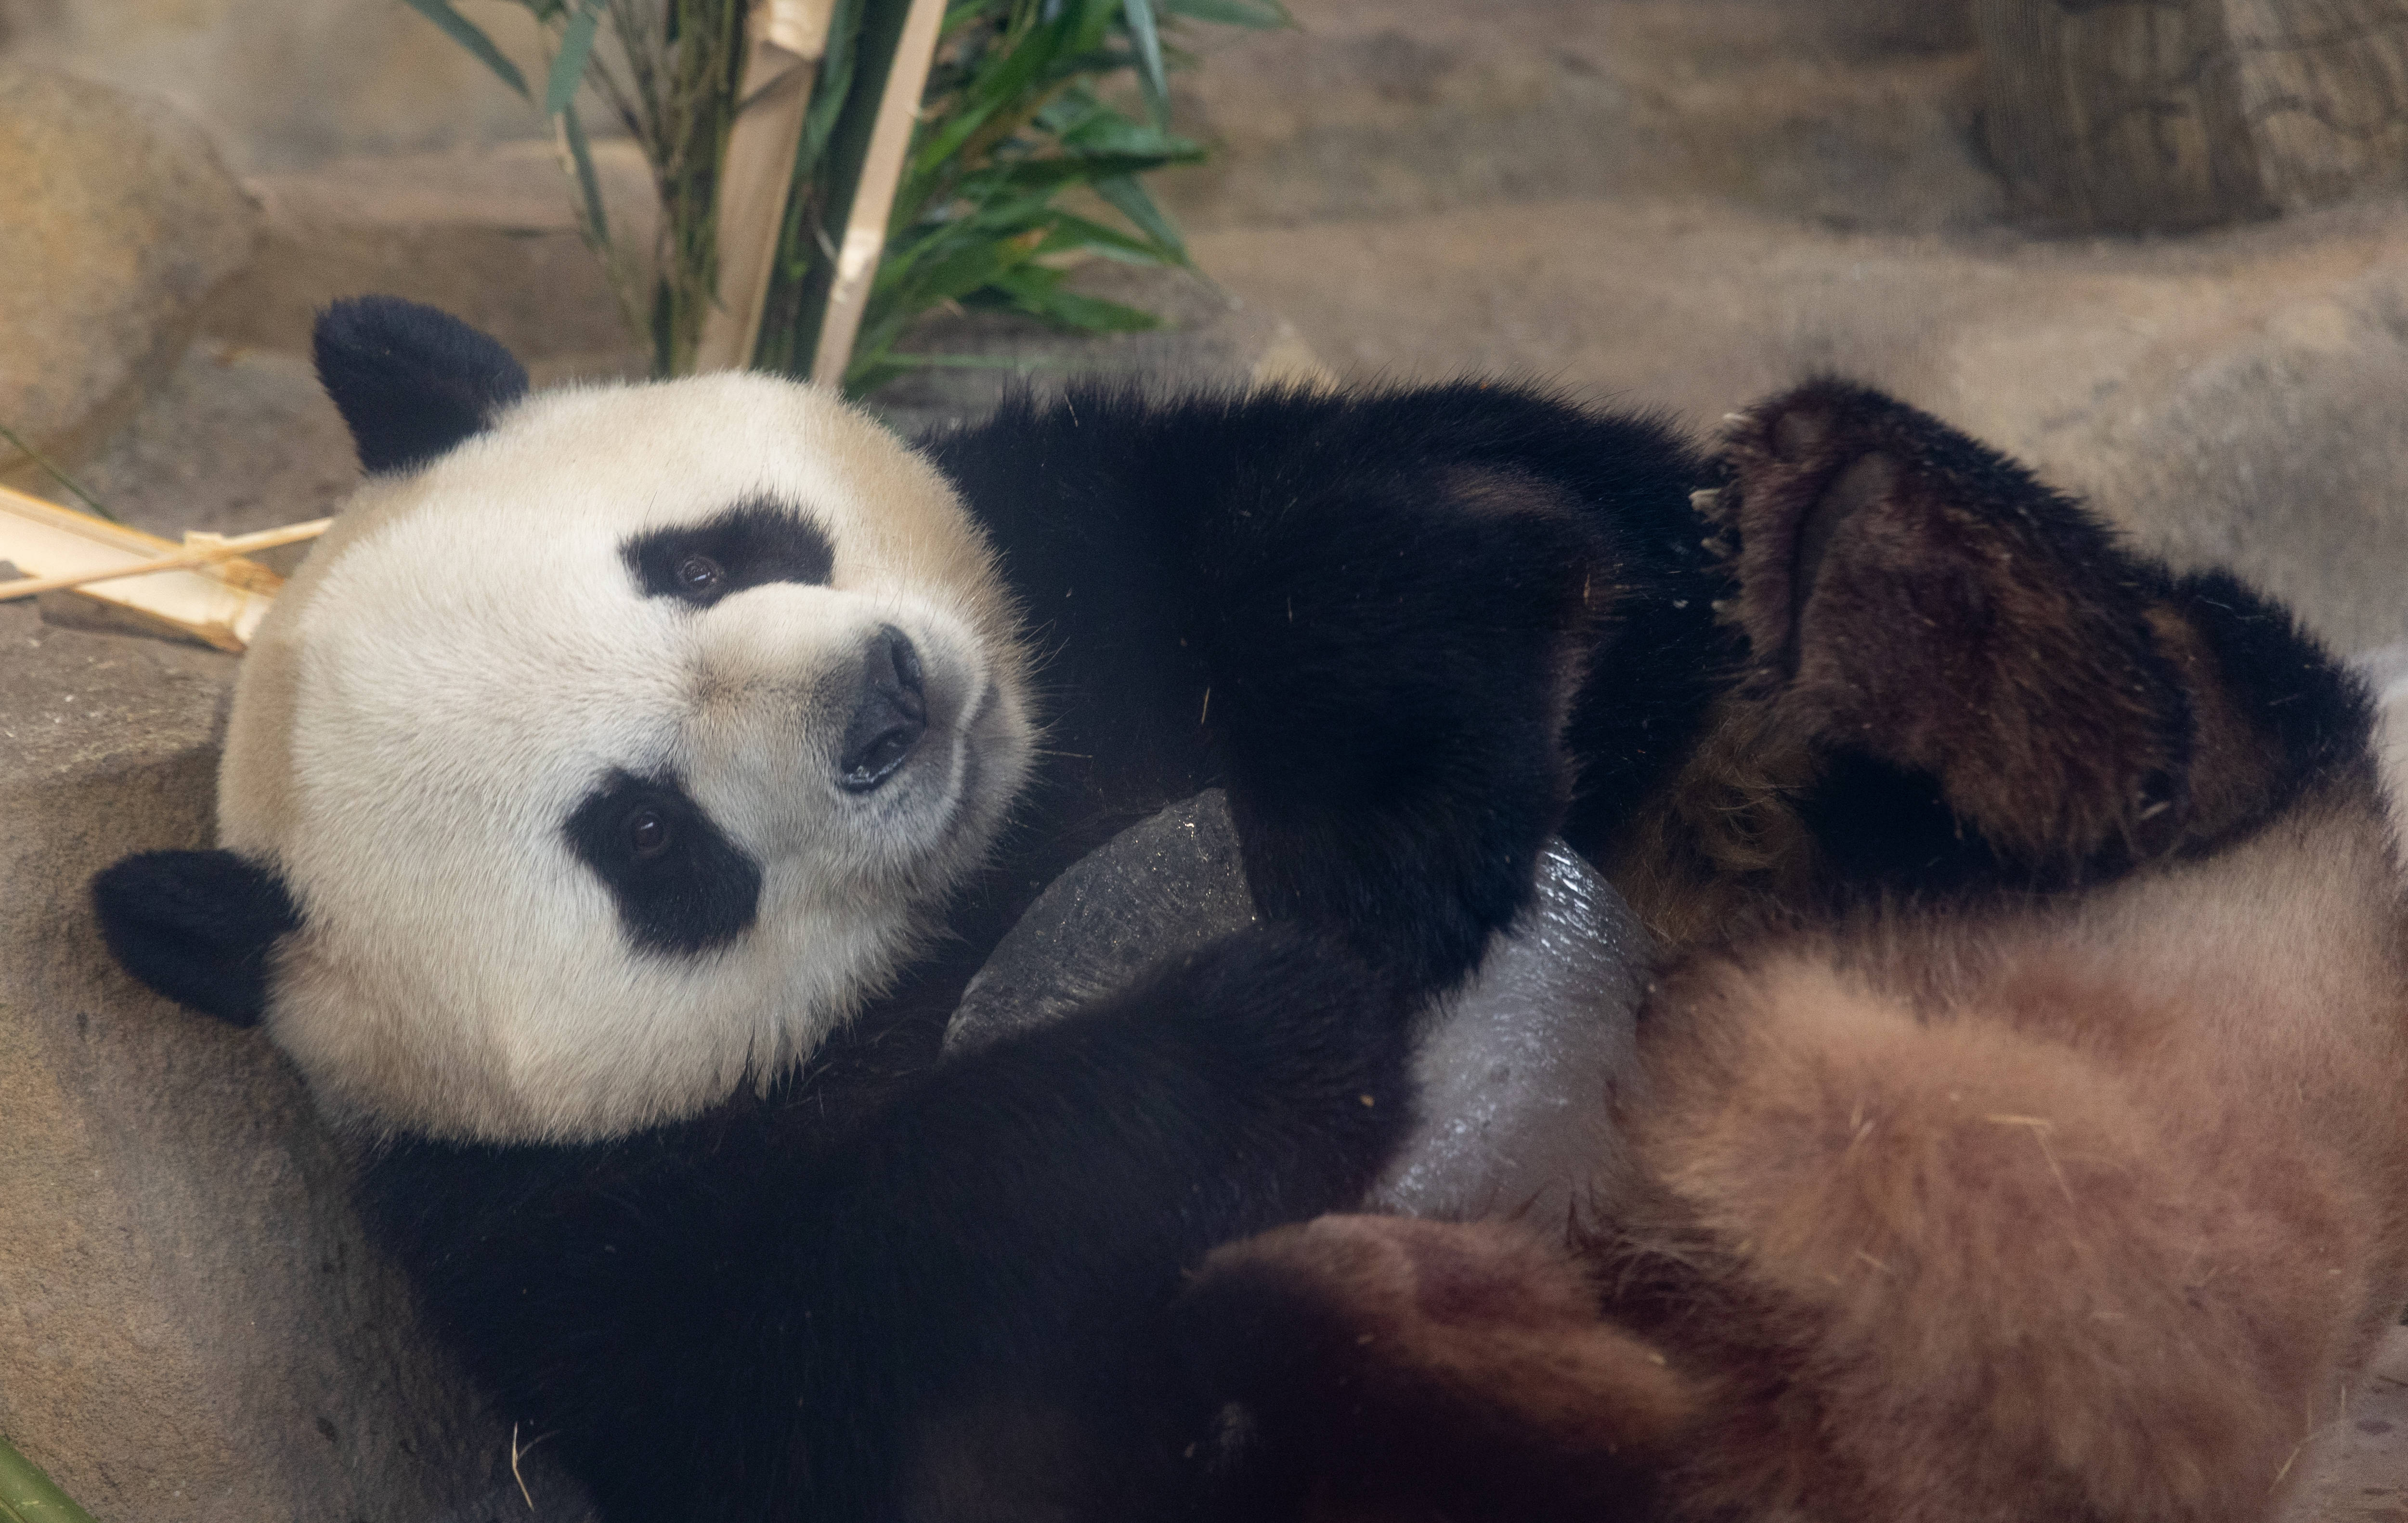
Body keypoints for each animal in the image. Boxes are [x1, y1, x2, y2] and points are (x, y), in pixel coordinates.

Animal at [85, 298, 1724, 1523]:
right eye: (644, 834)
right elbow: (826, 1349)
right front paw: (1260, 1025)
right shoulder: (544, 1224)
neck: (1010, 832)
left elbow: (1484, 493)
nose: (887, 706)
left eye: (704, 559)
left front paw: (1395, 824)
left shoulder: (1075, 523)